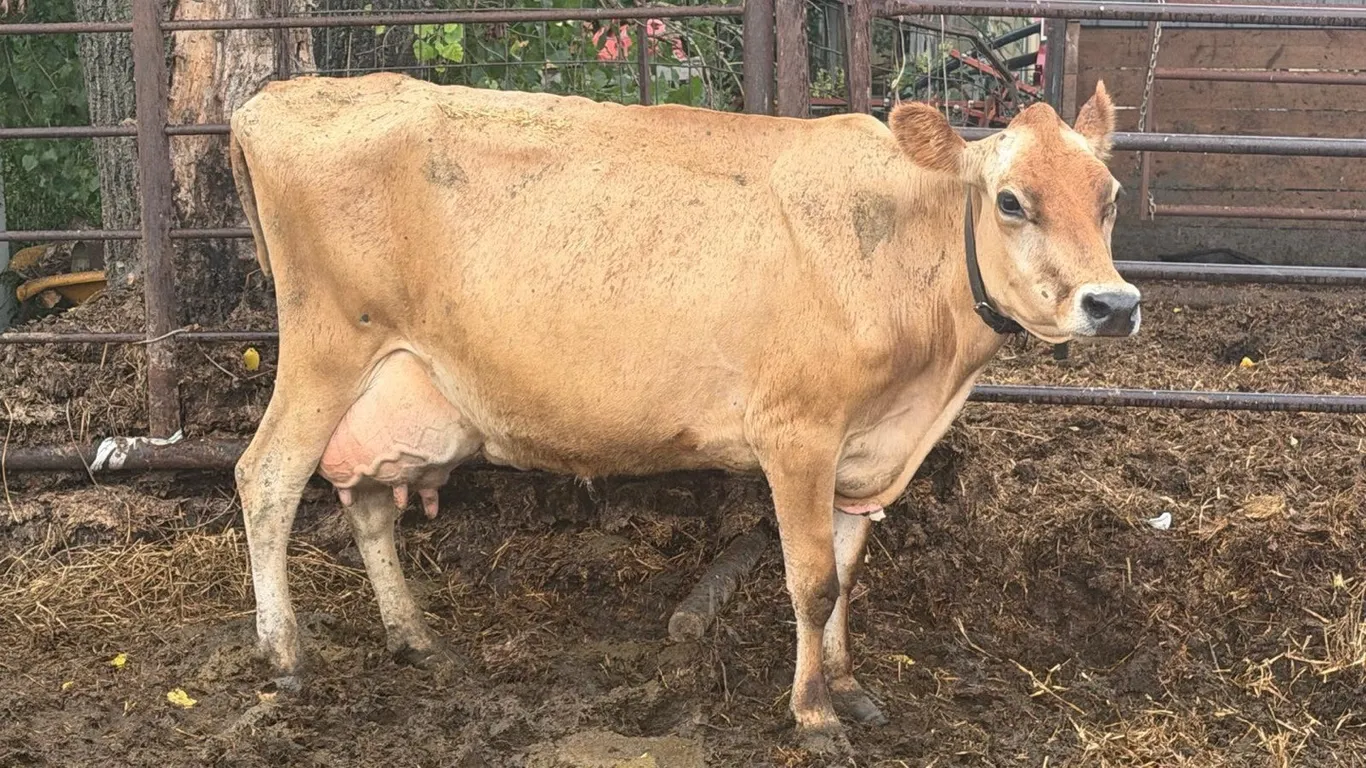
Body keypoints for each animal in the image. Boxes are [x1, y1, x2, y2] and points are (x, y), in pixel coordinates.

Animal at [228, 72, 1136, 750]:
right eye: (1012, 200)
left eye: (1111, 195)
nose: (1114, 303)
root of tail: (281, 97)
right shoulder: (798, 432)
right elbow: (811, 581)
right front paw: (813, 714)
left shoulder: (867, 450)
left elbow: (847, 575)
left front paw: (848, 684)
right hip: (325, 349)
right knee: (265, 478)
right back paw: (285, 652)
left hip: (395, 387)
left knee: (367, 500)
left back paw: (413, 637)